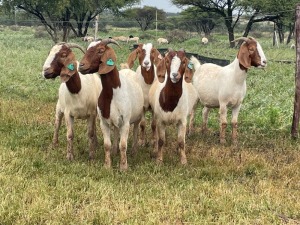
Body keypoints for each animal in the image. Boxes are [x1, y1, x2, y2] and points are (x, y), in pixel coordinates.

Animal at [78, 38, 144, 171]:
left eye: (100, 50)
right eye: (87, 49)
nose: (81, 66)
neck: (112, 92)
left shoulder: (125, 122)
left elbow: (123, 145)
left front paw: (123, 167)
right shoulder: (103, 121)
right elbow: (107, 145)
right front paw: (107, 165)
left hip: (137, 117)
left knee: (135, 131)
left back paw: (134, 151)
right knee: (116, 132)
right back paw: (114, 151)